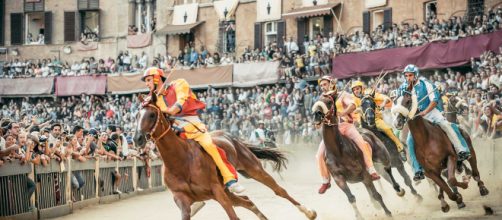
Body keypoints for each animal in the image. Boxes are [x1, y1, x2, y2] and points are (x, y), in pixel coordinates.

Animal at [132, 96, 314, 220]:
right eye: (137, 115)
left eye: (151, 114)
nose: (137, 138)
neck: (181, 162)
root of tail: (232, 137)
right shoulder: (182, 199)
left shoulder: (217, 190)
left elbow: (234, 217)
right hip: (228, 190)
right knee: (247, 201)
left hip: (253, 169)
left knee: (279, 191)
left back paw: (309, 212)